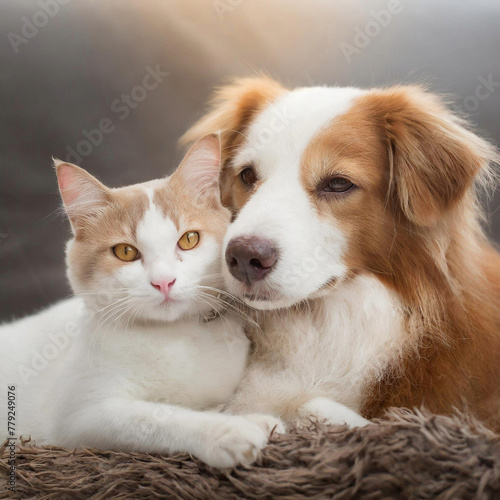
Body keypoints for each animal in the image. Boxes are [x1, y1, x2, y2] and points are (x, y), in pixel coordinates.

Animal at [0, 135, 282, 466]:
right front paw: (229, 430)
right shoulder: (82, 418)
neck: (173, 335)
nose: (164, 281)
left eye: (189, 239)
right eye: (125, 252)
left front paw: (255, 418)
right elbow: (159, 417)